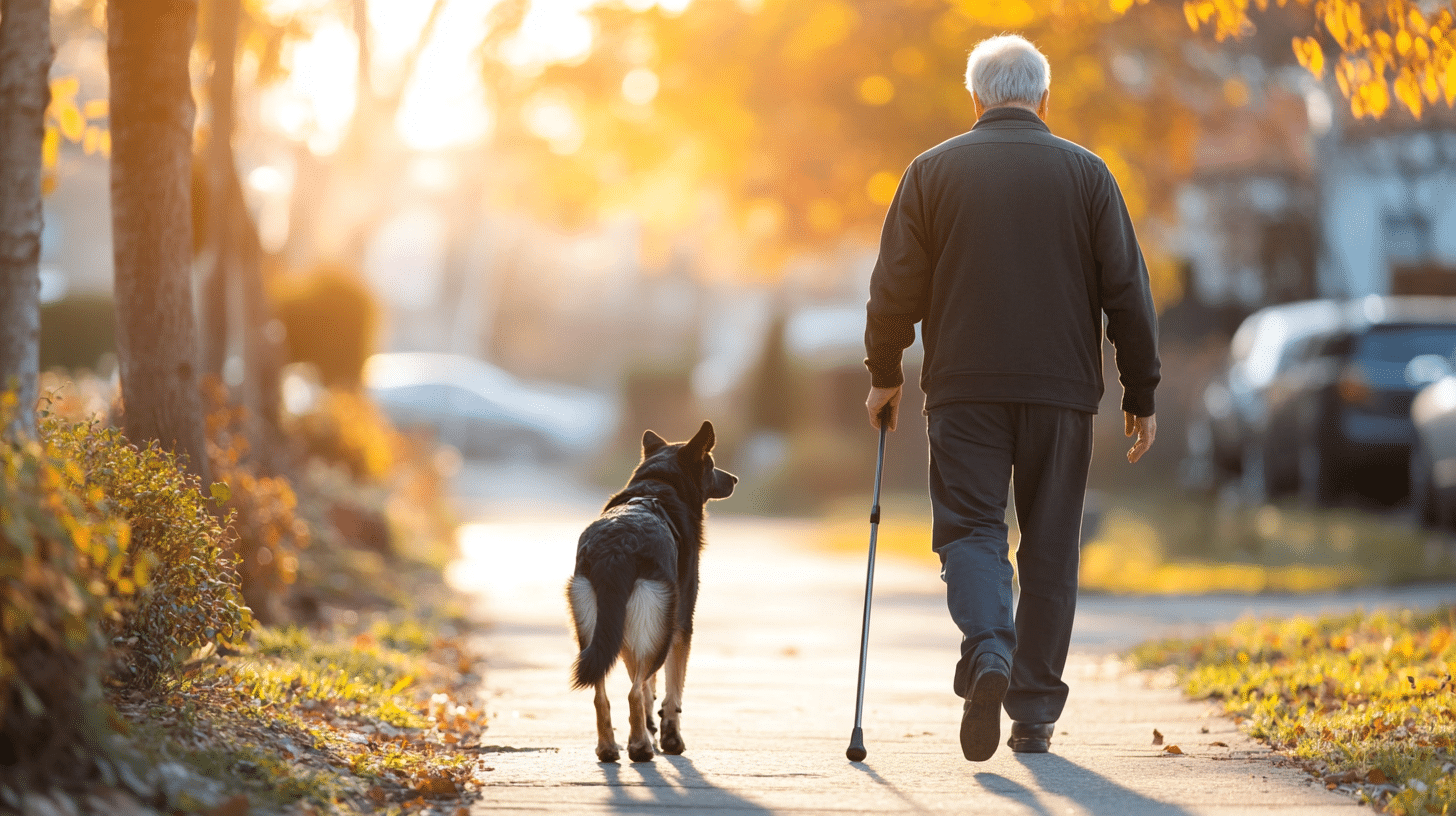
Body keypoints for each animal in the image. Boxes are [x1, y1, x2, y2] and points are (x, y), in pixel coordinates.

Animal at [562, 422, 733, 763]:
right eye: (710, 464)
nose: (734, 479)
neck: (657, 485)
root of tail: (616, 548)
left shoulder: (632, 631)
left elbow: (649, 690)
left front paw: (652, 729)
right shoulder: (680, 625)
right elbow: (670, 692)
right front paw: (670, 739)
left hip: (595, 632)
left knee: (603, 693)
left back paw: (610, 747)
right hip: (659, 630)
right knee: (634, 691)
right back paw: (640, 748)